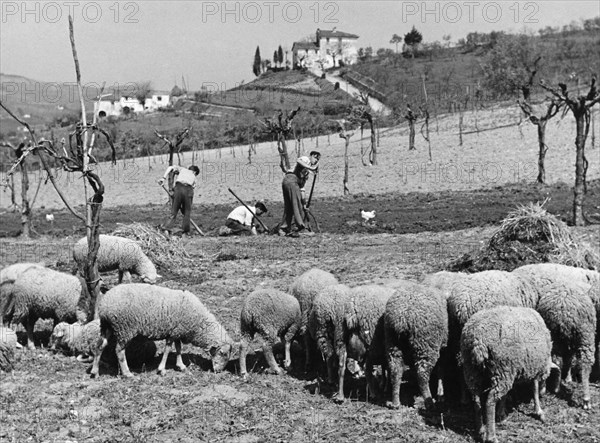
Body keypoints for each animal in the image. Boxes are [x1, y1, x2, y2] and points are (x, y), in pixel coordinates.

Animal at [90, 284, 236, 378]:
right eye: (222, 353)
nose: (218, 371)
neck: (198, 322)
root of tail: (105, 305)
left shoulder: (177, 331)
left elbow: (178, 348)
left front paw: (180, 366)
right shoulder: (172, 332)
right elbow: (168, 349)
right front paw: (162, 369)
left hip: (107, 326)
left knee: (100, 346)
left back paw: (95, 372)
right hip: (124, 328)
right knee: (119, 351)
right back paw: (127, 373)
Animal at [382, 282, 448, 412]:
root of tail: (404, 317)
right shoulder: (443, 347)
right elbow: (441, 369)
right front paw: (440, 394)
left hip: (392, 343)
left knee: (395, 371)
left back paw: (395, 403)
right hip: (426, 345)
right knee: (422, 374)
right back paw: (429, 403)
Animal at [460, 306, 552, 443]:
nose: (544, 393)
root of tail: (478, 340)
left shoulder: (515, 370)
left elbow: (505, 395)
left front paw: (501, 414)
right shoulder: (534, 368)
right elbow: (534, 388)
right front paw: (539, 411)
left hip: (473, 369)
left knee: (476, 398)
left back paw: (481, 430)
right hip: (502, 367)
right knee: (490, 400)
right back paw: (491, 436)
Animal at [536, 282, 596, 412]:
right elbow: (568, 359)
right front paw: (567, 378)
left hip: (557, 336)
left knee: (556, 361)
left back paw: (552, 388)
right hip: (585, 334)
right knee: (585, 365)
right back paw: (586, 399)